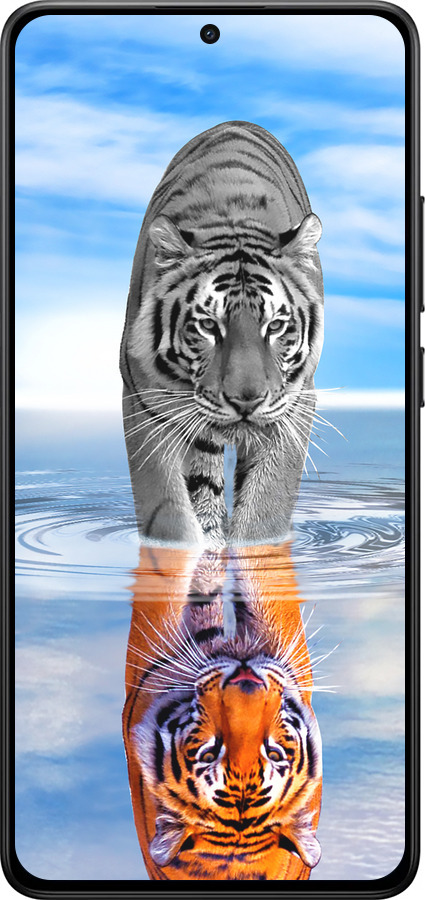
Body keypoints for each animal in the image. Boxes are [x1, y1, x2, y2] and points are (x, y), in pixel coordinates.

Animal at [120, 121, 324, 549]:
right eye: (208, 326)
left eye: (275, 326)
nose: (246, 401)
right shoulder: (144, 401)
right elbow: (168, 513)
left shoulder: (295, 404)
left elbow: (265, 510)